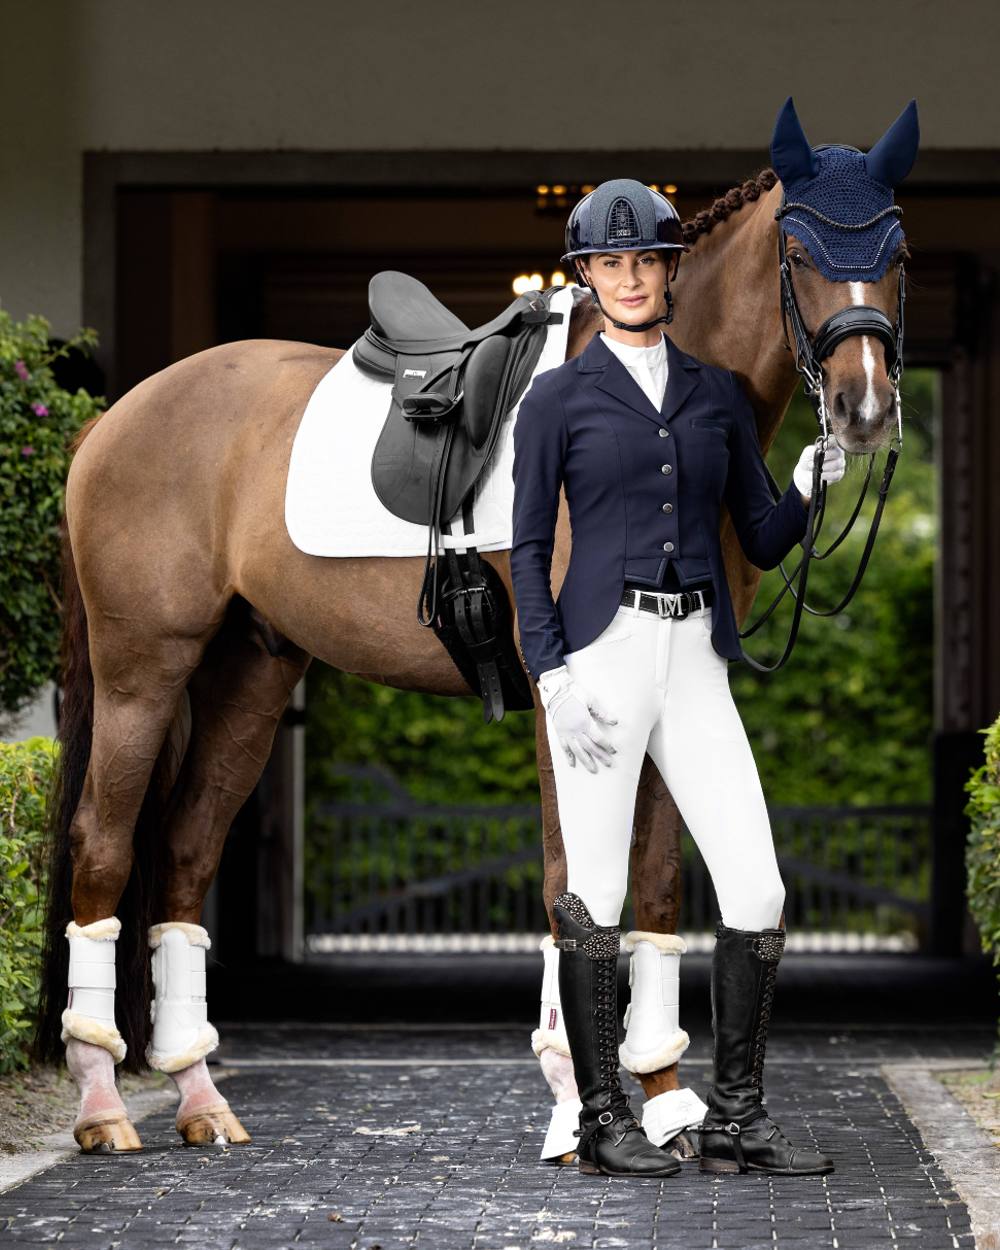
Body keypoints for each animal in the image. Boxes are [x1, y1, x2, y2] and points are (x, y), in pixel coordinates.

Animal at [35, 143, 905, 1150]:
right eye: (799, 249)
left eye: (898, 248)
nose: (864, 407)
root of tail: (116, 416)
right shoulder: (566, 704)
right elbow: (576, 880)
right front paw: (576, 1106)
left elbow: (652, 887)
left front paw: (662, 1099)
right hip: (143, 672)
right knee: (103, 846)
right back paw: (102, 1100)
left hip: (249, 675)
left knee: (182, 852)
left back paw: (200, 1096)